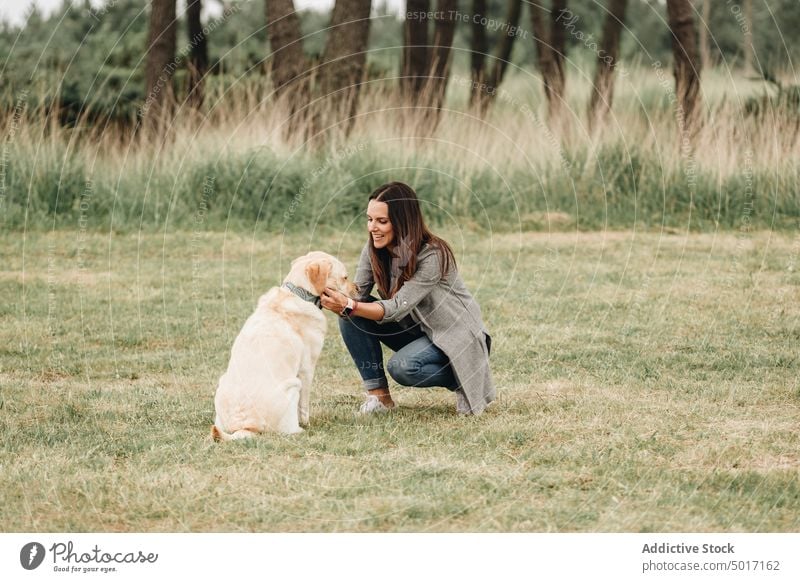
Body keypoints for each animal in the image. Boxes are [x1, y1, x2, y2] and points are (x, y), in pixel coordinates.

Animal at [211, 252, 354, 442]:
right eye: (345, 277)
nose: (358, 289)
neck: (298, 294)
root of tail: (245, 426)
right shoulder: (307, 369)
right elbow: (304, 407)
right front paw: (308, 424)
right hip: (294, 385)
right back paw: (300, 430)